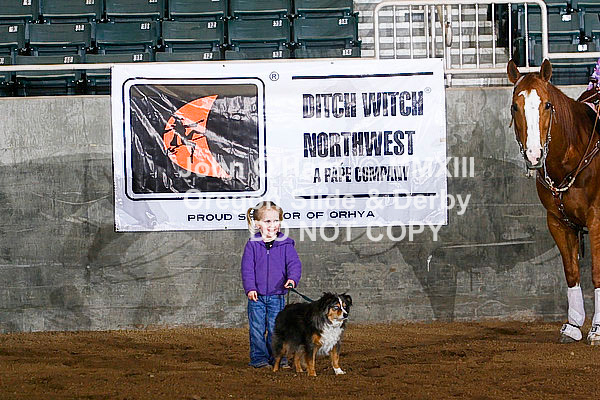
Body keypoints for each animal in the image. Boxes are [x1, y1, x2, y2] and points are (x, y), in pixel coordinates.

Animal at [507, 59, 600, 344]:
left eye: (547, 104)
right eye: (515, 106)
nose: (534, 155)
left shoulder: (597, 219)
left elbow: (596, 271)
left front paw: (597, 329)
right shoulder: (558, 221)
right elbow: (571, 272)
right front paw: (573, 325)